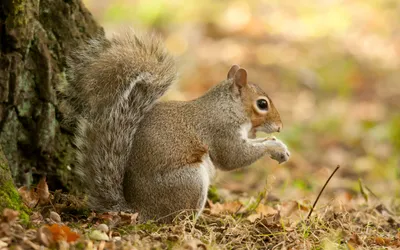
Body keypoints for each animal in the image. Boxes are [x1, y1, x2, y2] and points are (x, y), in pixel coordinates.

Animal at [65, 29, 290, 223]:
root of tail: (139, 211)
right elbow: (233, 157)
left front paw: (279, 145)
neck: (227, 107)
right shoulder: (220, 130)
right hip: (190, 180)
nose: (279, 126)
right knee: (177, 218)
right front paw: (274, 146)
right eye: (262, 104)